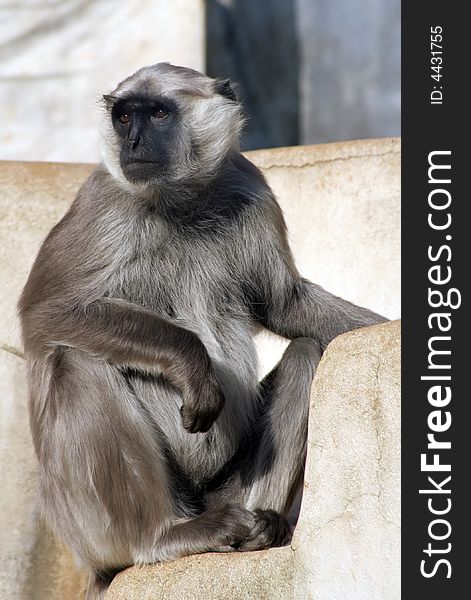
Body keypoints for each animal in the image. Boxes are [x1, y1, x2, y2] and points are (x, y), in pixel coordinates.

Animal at [18, 63, 388, 596]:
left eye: (157, 113)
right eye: (124, 115)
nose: (132, 140)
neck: (181, 202)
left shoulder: (249, 184)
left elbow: (286, 306)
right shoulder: (103, 201)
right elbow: (47, 312)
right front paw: (193, 366)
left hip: (222, 490)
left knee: (303, 353)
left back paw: (261, 527)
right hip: (88, 524)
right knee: (76, 359)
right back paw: (162, 536)